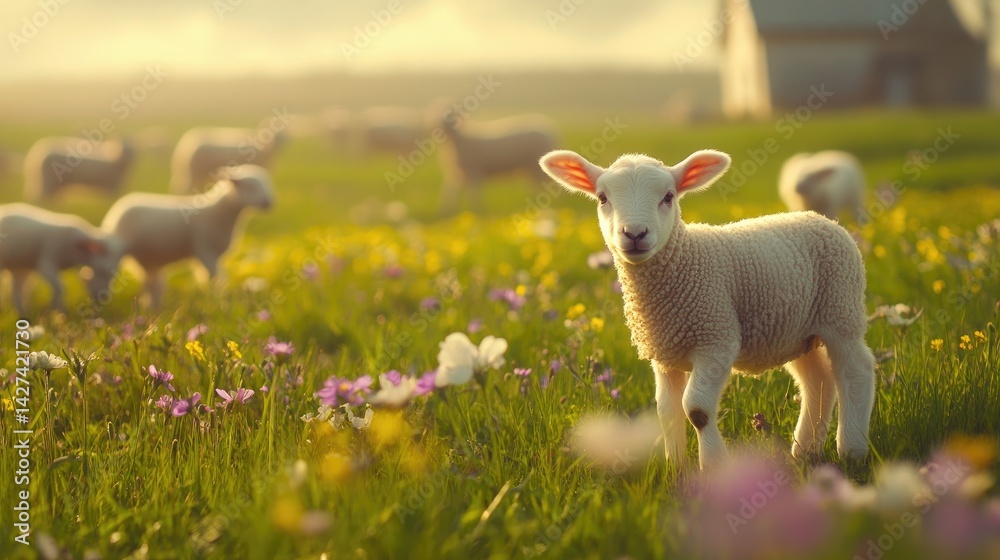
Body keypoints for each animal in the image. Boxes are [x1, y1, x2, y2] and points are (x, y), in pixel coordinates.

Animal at [102, 164, 274, 307]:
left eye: (267, 184)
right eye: (249, 186)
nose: (268, 202)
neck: (219, 212)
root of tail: (116, 209)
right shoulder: (205, 249)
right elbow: (215, 278)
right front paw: (220, 300)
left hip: (148, 259)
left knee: (152, 284)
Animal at [540, 149, 876, 470]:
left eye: (668, 196)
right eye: (602, 198)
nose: (634, 234)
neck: (684, 261)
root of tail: (821, 219)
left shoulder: (715, 339)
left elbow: (696, 409)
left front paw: (713, 467)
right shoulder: (665, 353)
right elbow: (667, 411)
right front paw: (675, 468)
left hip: (841, 309)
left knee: (855, 370)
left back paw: (851, 449)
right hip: (797, 332)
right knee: (818, 380)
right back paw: (805, 451)